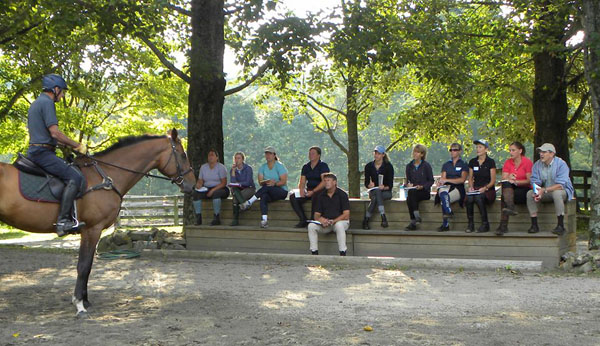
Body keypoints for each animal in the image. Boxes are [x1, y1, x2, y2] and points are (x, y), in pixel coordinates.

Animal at [0, 129, 195, 316]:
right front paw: (79, 304)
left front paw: (85, 300)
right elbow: (83, 266)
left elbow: (88, 266)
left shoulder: (92, 231)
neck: (105, 175)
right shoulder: (92, 229)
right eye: (182, 155)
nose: (193, 185)